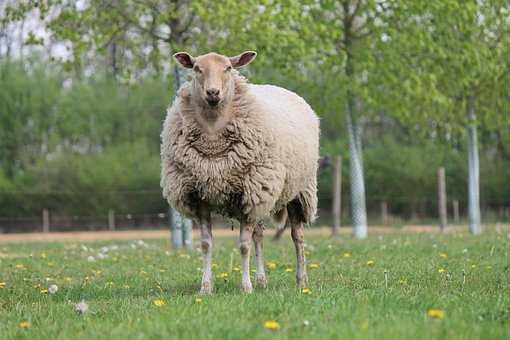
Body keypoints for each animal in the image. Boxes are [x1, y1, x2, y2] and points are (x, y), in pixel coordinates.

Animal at [159, 51, 318, 294]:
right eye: (196, 68)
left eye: (228, 68)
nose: (212, 92)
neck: (213, 137)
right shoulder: (200, 195)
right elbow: (206, 244)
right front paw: (205, 287)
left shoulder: (251, 192)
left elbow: (243, 245)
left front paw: (246, 287)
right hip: (261, 196)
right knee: (259, 235)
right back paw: (262, 280)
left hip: (298, 191)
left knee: (297, 236)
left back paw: (301, 281)